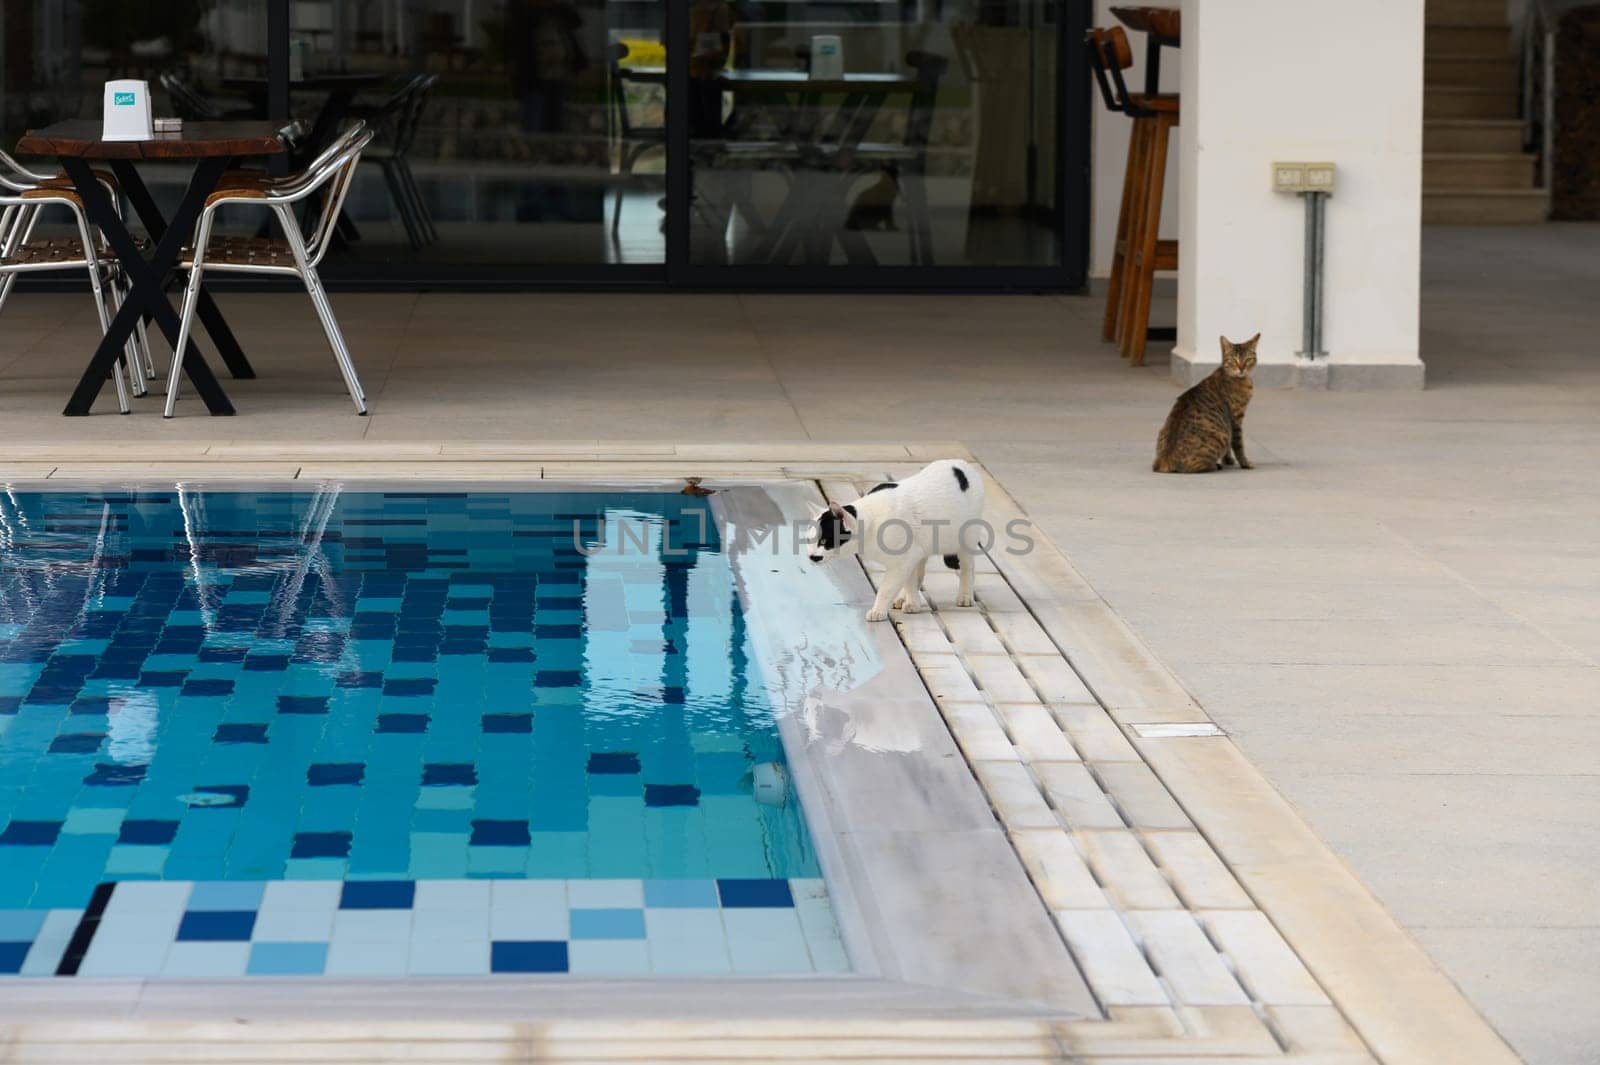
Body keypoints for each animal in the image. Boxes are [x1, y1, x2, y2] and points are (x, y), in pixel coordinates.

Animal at [1152, 334, 1260, 470]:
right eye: (1233, 360)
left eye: (1248, 359)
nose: (1241, 368)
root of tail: (1164, 459)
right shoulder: (1235, 419)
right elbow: (1238, 445)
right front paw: (1244, 463)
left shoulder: (1231, 423)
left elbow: (1229, 447)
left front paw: (1228, 460)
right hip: (1219, 436)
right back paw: (1215, 465)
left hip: (1161, 431)